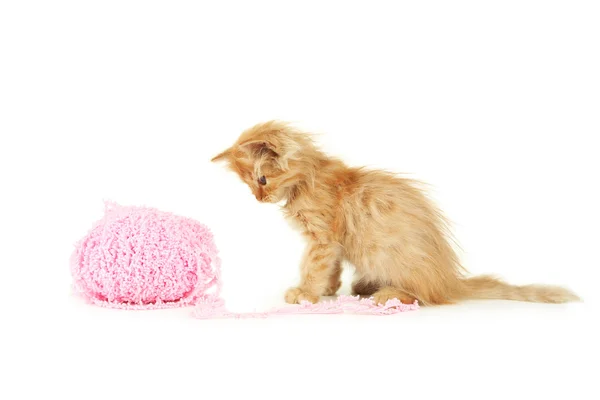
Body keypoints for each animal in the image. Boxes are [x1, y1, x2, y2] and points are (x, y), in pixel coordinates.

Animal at [212, 120, 580, 304]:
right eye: (249, 185)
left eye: (261, 179)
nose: (259, 199)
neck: (308, 179)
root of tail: (448, 283)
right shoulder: (332, 245)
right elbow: (330, 269)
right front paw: (328, 291)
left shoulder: (322, 239)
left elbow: (312, 268)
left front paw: (306, 294)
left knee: (421, 297)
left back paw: (386, 294)